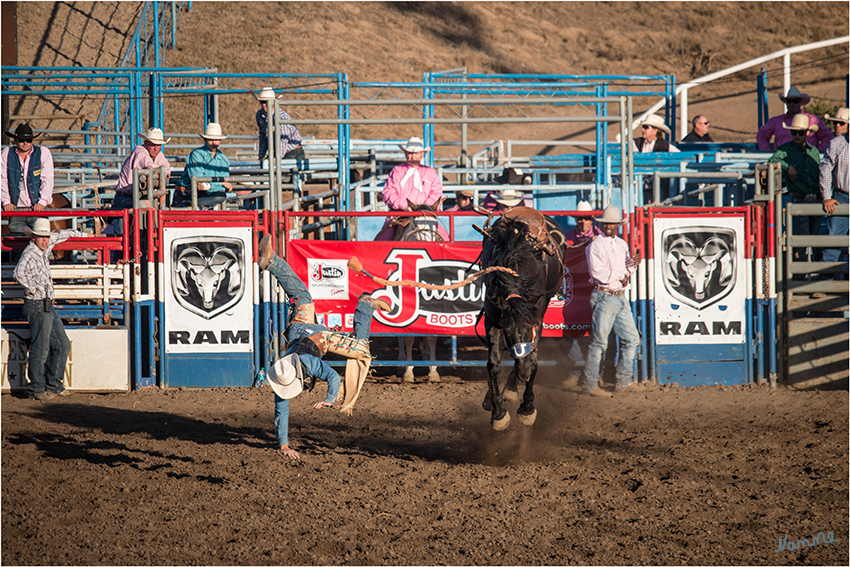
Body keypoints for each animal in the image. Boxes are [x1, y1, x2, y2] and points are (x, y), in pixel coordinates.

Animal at [476, 207, 564, 430]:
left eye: (531, 329)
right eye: (508, 332)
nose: (523, 375)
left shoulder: (538, 318)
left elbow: (532, 361)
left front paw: (527, 409)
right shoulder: (492, 320)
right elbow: (494, 363)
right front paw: (498, 413)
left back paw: (512, 388)